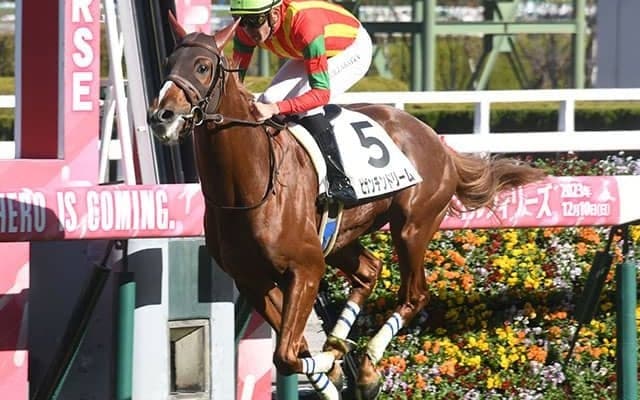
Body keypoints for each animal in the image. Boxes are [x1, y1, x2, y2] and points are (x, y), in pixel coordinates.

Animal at [147, 17, 546, 400]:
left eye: (202, 66)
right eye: (167, 63)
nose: (161, 115)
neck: (248, 188)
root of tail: (435, 139)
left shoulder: (306, 268)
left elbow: (287, 353)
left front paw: (331, 363)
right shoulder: (251, 278)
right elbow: (295, 347)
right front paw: (332, 367)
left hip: (412, 227)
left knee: (414, 295)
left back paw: (365, 365)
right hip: (341, 238)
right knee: (369, 271)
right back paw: (346, 351)